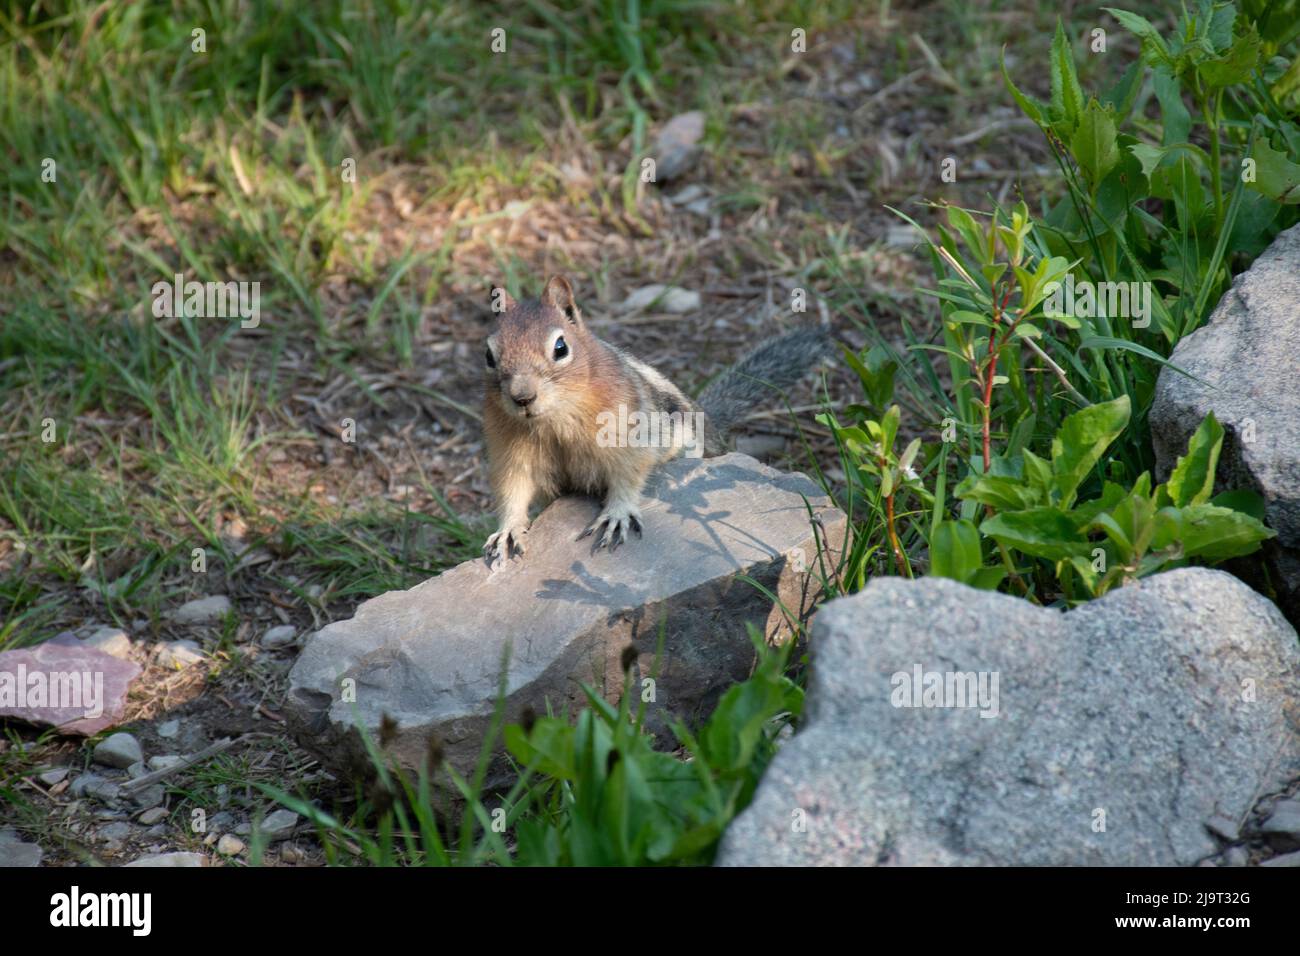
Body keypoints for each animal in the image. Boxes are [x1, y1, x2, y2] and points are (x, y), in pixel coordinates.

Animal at [483, 273, 826, 564]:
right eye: (488, 355)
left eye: (560, 347)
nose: (522, 397)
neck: (553, 417)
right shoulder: (511, 450)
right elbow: (514, 487)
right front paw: (508, 530)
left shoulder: (627, 433)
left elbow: (628, 473)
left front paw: (617, 513)